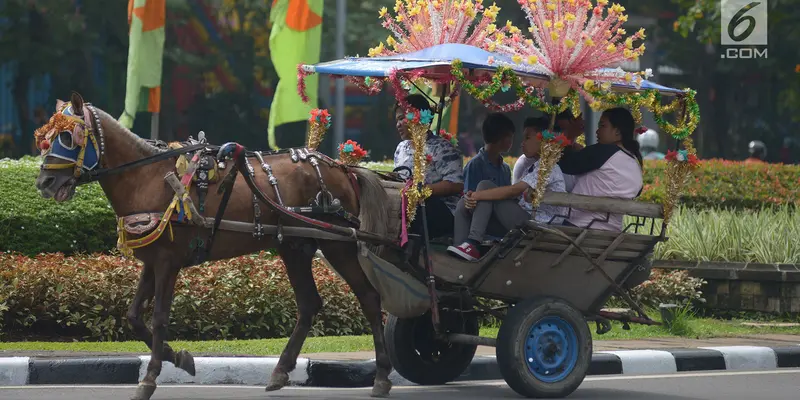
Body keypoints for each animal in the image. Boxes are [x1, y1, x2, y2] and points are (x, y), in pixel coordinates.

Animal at [35, 92, 396, 398]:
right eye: (45, 139)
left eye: (67, 138)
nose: (44, 182)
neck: (147, 178)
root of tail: (342, 169)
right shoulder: (152, 259)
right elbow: (134, 316)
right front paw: (180, 358)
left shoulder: (168, 262)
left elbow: (159, 318)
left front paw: (150, 378)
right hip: (296, 246)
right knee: (309, 303)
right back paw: (280, 371)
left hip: (338, 244)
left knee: (369, 297)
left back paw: (381, 376)